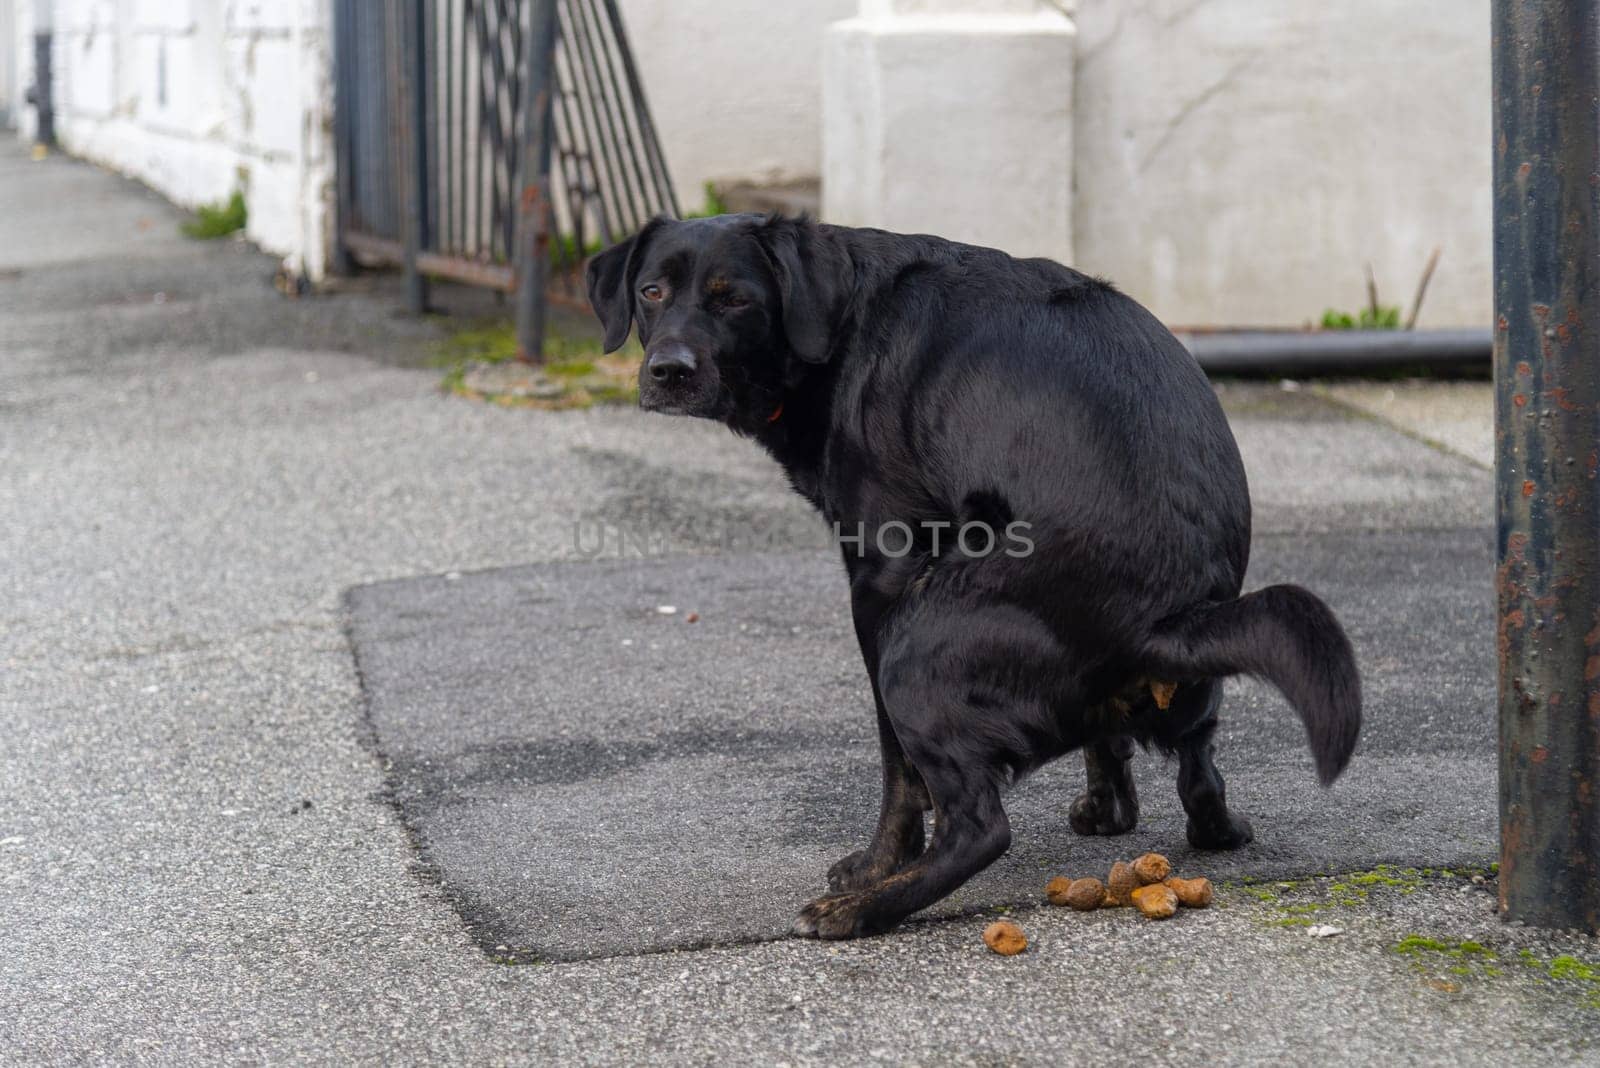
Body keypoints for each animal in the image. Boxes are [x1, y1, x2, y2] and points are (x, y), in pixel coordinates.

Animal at [588, 214, 1363, 933]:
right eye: (652, 292)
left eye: (735, 300)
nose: (668, 371)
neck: (839, 315)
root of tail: (1160, 618)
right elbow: (1109, 742)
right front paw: (1109, 807)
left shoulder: (880, 576)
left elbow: (897, 772)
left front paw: (878, 866)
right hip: (1189, 686)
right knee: (1199, 760)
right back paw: (1215, 827)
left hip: (914, 651)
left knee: (982, 827)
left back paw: (862, 911)